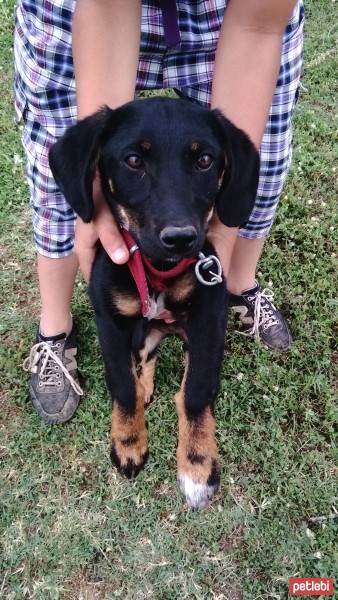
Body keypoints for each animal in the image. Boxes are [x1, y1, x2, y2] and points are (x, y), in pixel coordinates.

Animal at [49, 97, 258, 506]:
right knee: (144, 356)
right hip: (140, 330)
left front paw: (197, 465)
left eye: (204, 160)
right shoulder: (110, 321)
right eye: (133, 160)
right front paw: (129, 443)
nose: (180, 239)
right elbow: (122, 385)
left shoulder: (209, 318)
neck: (158, 268)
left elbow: (195, 391)